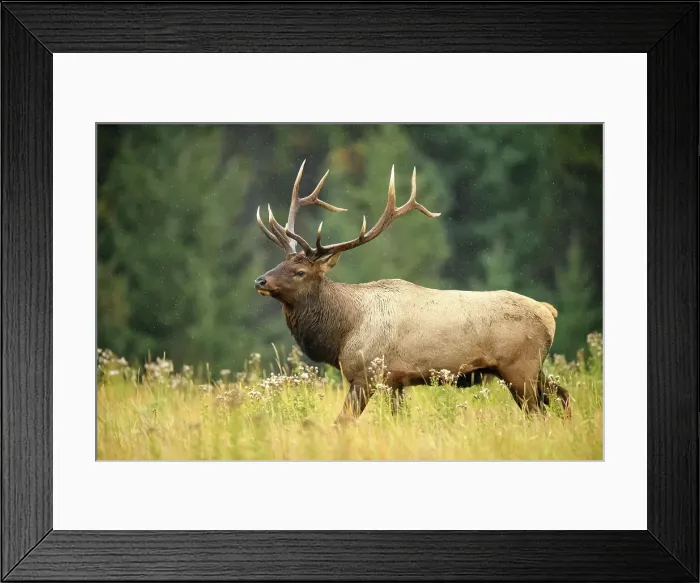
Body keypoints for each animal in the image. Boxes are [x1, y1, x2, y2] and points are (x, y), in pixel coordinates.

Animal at [254, 161, 571, 425]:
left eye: (300, 272)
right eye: (280, 263)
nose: (260, 281)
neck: (343, 331)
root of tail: (549, 311)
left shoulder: (367, 374)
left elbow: (342, 422)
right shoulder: (396, 382)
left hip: (520, 367)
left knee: (539, 411)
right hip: (532, 368)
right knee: (563, 395)